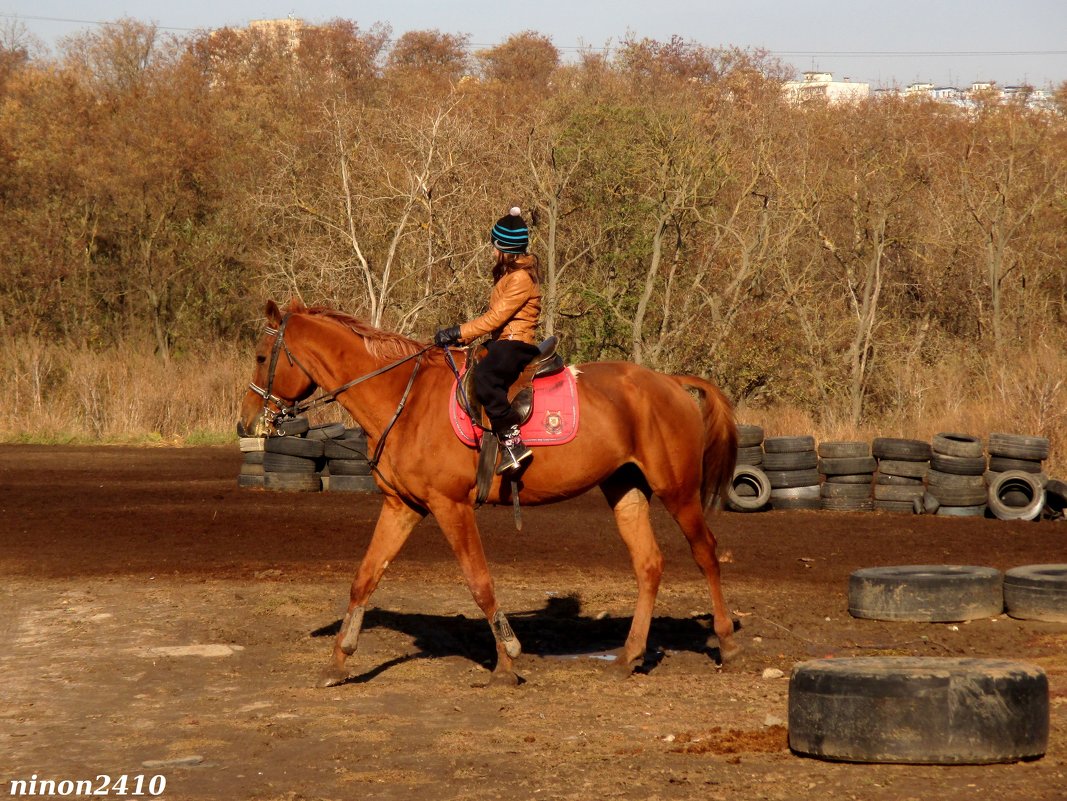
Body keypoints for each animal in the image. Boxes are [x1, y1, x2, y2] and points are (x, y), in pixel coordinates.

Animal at [237, 298, 738, 686]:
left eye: (262, 356)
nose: (245, 422)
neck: (404, 399)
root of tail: (670, 382)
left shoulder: (450, 507)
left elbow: (480, 584)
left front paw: (507, 661)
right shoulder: (402, 506)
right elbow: (365, 578)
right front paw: (339, 660)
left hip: (677, 491)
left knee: (706, 552)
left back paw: (727, 642)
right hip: (626, 489)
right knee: (648, 564)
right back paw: (630, 656)